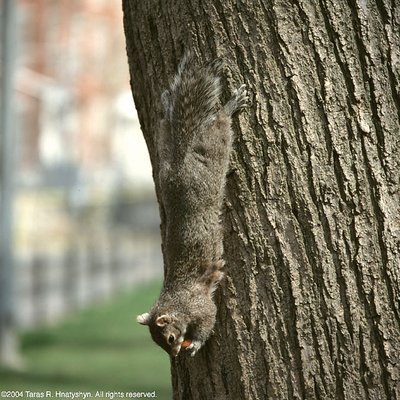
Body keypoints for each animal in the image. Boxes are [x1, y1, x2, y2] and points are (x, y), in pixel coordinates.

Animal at [139, 52, 248, 356]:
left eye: (169, 339)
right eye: (158, 344)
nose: (175, 354)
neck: (176, 302)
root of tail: (181, 161)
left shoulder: (199, 305)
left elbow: (208, 319)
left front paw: (196, 343)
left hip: (213, 151)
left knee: (220, 124)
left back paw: (231, 105)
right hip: (164, 150)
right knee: (167, 125)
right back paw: (167, 104)